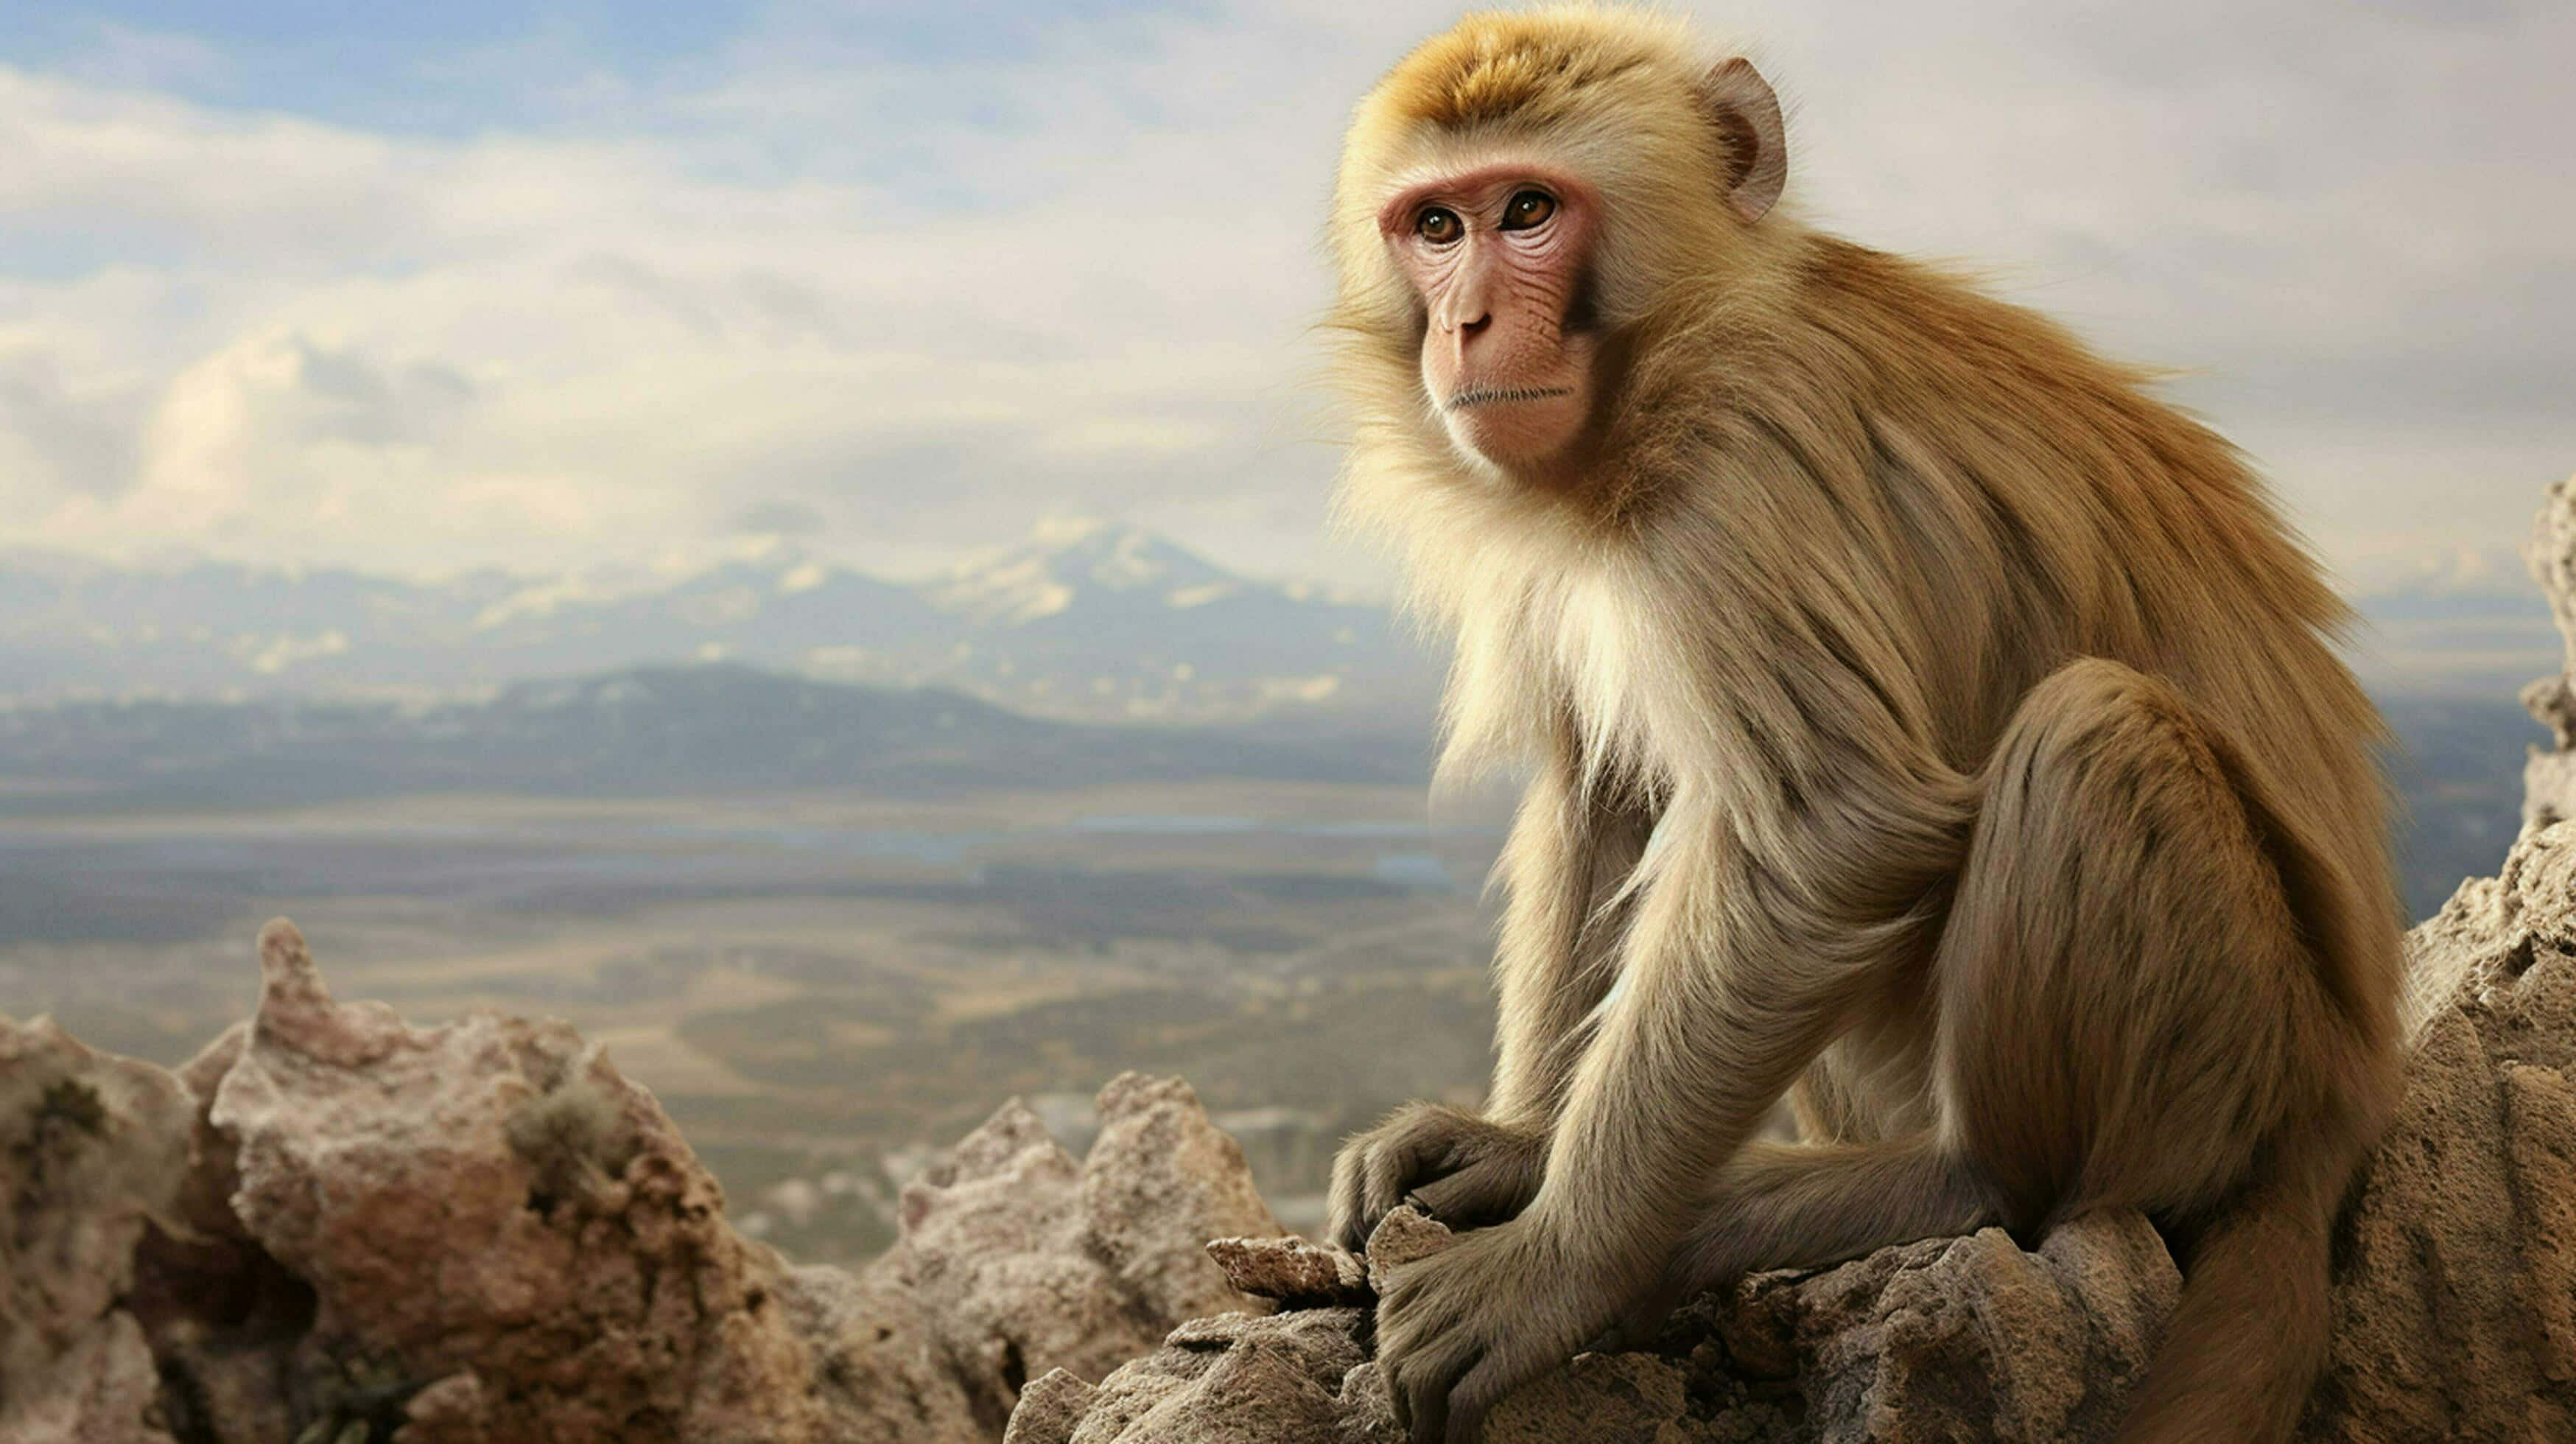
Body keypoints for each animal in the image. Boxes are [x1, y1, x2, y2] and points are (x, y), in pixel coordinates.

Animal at [1319, 10, 2403, 1443]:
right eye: (1434, 226)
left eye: (1530, 211)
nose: (1467, 321)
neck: (1679, 340)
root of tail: (2344, 1101)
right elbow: (1611, 793)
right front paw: (1518, 1146)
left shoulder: (1746, 460)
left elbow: (1830, 831)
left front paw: (1559, 1265)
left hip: (2235, 1056)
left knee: (2090, 731)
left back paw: (1952, 1183)